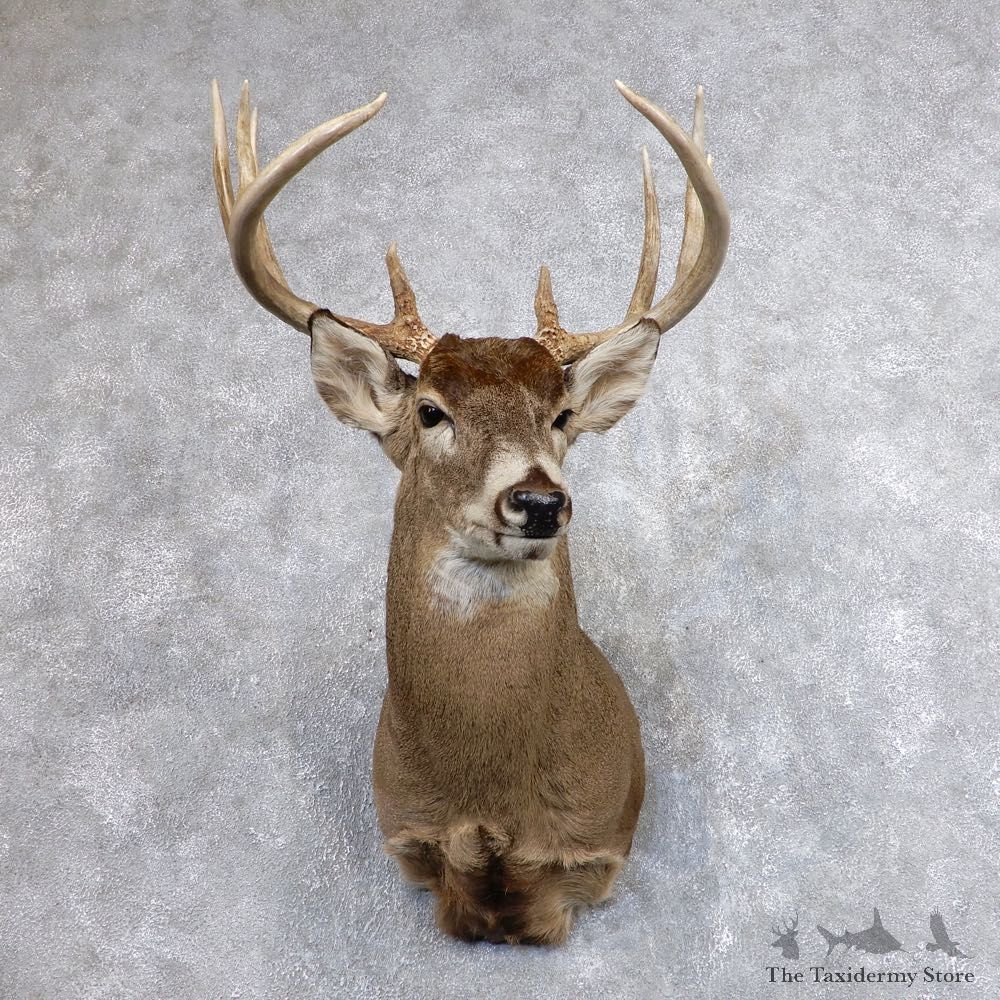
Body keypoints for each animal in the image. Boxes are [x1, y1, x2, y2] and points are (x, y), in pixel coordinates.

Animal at [210, 76, 729, 945]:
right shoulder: (407, 837)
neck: (489, 806)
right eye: (430, 411)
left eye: (561, 414)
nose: (538, 499)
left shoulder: (598, 849)